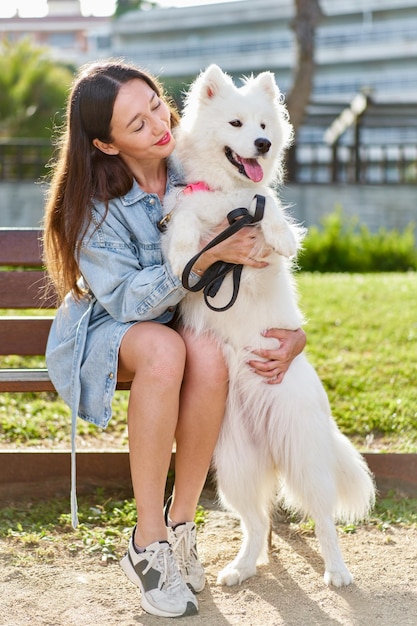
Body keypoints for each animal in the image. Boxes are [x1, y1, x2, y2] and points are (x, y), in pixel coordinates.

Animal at [162, 66, 374, 588]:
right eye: (236, 124)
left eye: (263, 125)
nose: (261, 143)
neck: (227, 197)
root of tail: (268, 441)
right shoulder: (187, 216)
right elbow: (184, 229)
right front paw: (183, 254)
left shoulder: (256, 208)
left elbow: (269, 205)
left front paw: (278, 236)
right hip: (234, 467)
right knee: (256, 523)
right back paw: (239, 569)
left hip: (303, 458)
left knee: (324, 521)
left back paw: (337, 572)